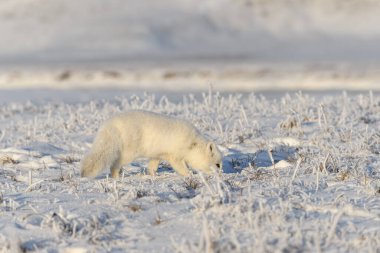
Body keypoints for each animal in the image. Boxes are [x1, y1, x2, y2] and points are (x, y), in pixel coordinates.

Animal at [81, 110, 223, 178]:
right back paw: (116, 177)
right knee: (114, 164)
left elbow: (152, 166)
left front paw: (154, 175)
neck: (193, 144)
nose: (221, 174)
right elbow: (181, 167)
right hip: (129, 152)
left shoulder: (158, 154)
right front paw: (189, 175)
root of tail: (110, 125)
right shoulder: (174, 155)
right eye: (218, 164)